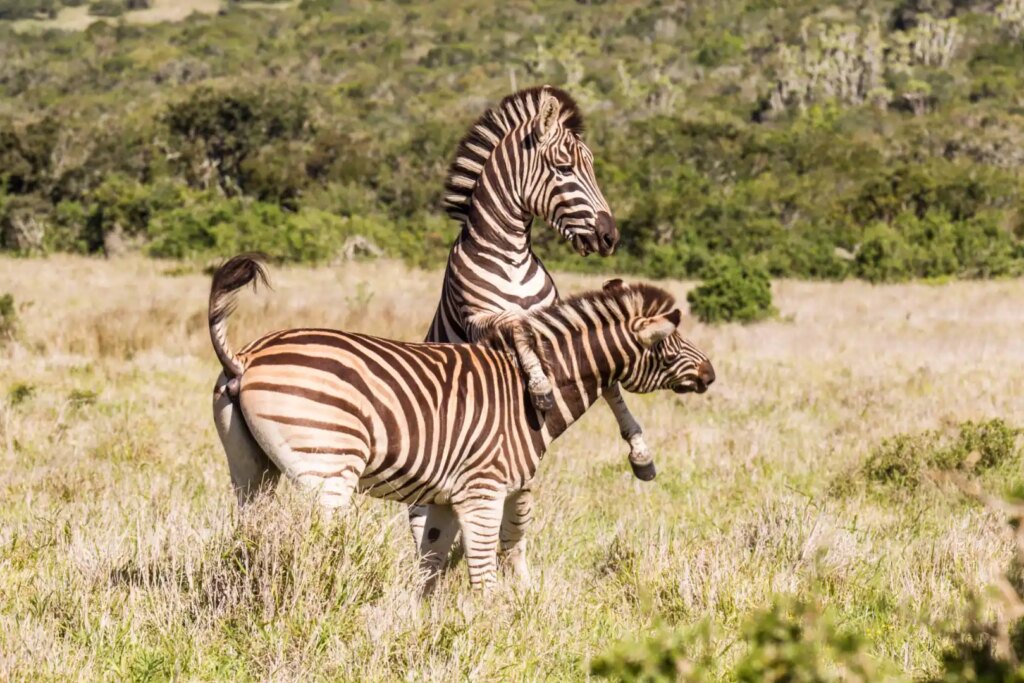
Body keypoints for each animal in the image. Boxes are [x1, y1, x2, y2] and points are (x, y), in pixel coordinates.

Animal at [210, 254, 715, 590]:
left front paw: (420, 628)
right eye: (669, 342)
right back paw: (323, 593)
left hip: (249, 470)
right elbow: (484, 576)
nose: (710, 373)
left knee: (251, 535)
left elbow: (429, 570)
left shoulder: (446, 499)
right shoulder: (483, 492)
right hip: (328, 468)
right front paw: (494, 635)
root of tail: (245, 359)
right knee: (316, 545)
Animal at [415, 85, 659, 563]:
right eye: (563, 168)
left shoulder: (561, 322)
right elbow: (516, 326)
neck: (511, 255)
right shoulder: (479, 321)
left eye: (592, 168)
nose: (610, 237)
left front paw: (640, 452)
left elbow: (612, 386)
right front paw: (541, 387)